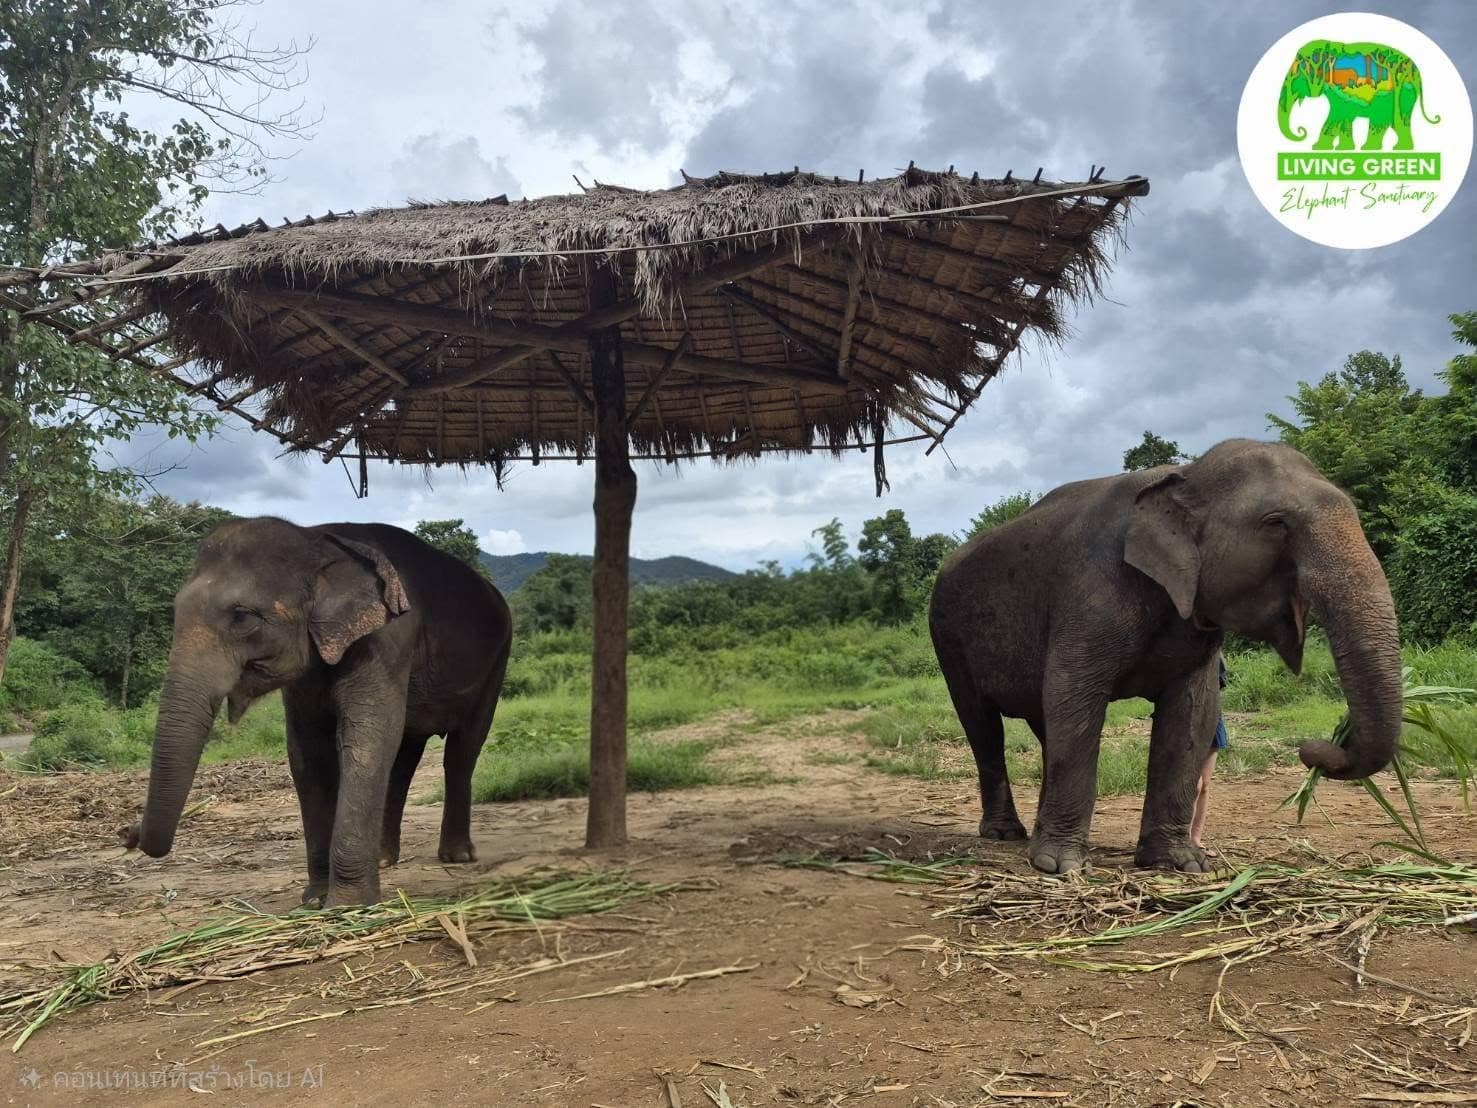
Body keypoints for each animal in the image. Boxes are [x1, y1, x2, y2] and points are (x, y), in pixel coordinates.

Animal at [121, 518, 513, 907]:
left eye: (243, 617)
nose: (127, 833)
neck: (318, 539)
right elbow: (308, 752)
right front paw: (314, 899)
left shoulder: (387, 640)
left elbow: (367, 738)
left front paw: (349, 905)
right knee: (404, 758)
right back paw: (384, 860)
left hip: (498, 659)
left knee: (462, 750)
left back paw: (457, 856)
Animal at [928, 440, 1402, 875]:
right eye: (1276, 523)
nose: (1315, 748)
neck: (1184, 477)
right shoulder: (1090, 591)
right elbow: (1074, 695)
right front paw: (1059, 867)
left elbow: (1193, 712)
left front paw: (1181, 864)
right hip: (946, 632)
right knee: (983, 725)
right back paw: (1006, 834)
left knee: (1044, 725)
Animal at [1279, 39, 1439, 151]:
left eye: (1297, 72)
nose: (1301, 131)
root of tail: (1417, 74)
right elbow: (1344, 118)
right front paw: (1343, 149)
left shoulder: (1340, 91)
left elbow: (1336, 116)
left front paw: (1318, 148)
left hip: (1397, 95)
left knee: (1385, 121)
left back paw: (1376, 149)